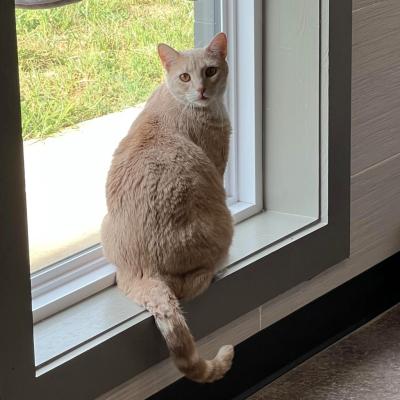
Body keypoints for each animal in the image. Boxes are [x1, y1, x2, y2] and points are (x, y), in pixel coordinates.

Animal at [100, 32, 236, 382]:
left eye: (211, 71)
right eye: (185, 77)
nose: (201, 89)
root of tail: (141, 269)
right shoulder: (218, 165)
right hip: (223, 223)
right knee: (192, 286)